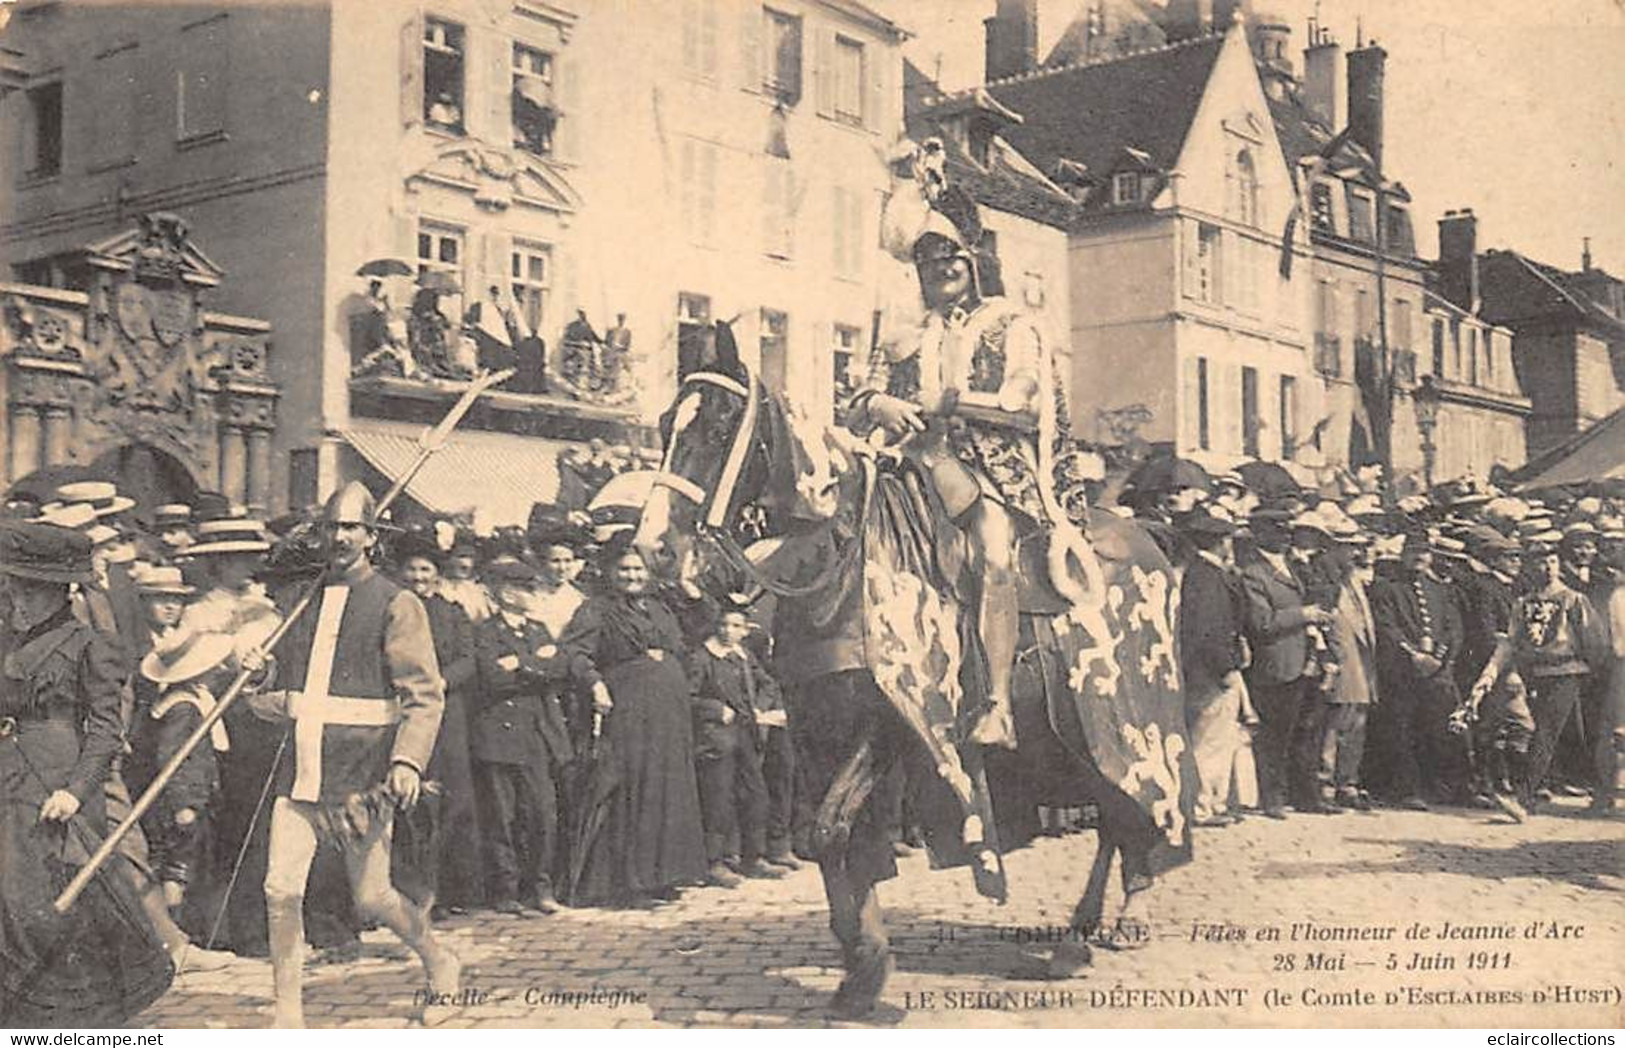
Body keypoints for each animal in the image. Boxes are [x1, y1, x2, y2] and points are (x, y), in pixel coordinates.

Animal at [630, 323, 1196, 1020]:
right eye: (666, 425)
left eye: (714, 427)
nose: (655, 547)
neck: (840, 563)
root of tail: (1151, 540)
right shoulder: (817, 726)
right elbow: (837, 842)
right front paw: (858, 966)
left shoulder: (891, 726)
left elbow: (829, 832)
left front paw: (868, 964)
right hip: (1061, 740)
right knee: (1117, 815)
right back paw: (1096, 923)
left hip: (1119, 719)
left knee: (1131, 806)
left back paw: (1090, 931)